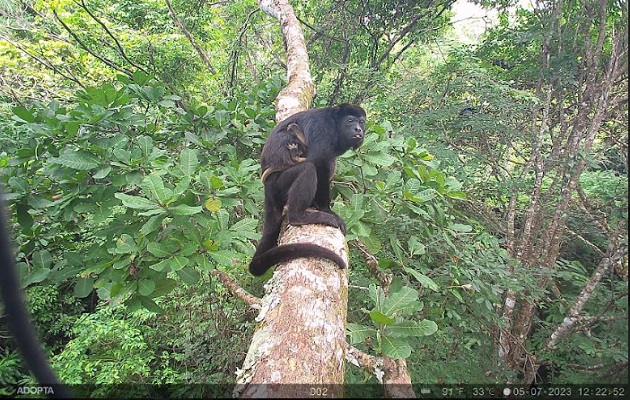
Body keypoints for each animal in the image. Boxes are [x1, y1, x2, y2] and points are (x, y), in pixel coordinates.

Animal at [249, 103, 368, 276]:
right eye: (351, 121)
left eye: (362, 122)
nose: (358, 129)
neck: (335, 125)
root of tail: (267, 187)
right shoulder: (323, 131)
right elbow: (318, 163)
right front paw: (327, 210)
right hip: (278, 184)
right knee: (308, 168)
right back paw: (298, 216)